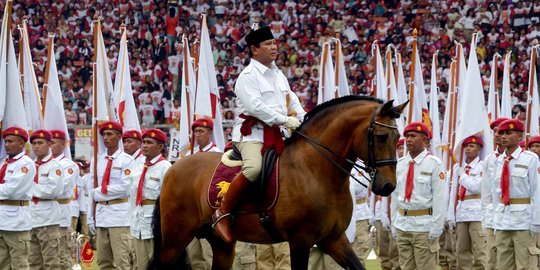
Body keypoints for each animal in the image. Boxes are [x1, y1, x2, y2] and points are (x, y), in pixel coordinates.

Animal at [148, 96, 404, 268]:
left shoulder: (333, 239)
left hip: (221, 245)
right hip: (175, 240)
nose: (388, 186)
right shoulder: (301, 240)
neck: (316, 170)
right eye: (382, 137)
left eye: (398, 137)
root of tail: (173, 167)